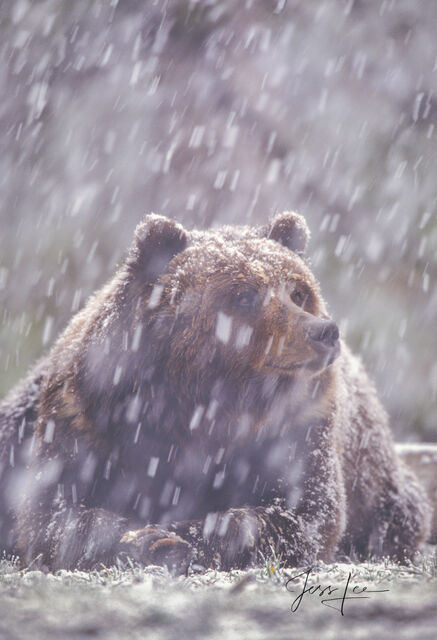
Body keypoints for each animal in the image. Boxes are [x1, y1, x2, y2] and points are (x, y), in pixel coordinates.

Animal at [0, 211, 430, 568]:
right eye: (245, 294)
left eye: (297, 291)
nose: (323, 331)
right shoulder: (84, 412)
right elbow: (54, 511)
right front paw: (143, 538)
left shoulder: (300, 425)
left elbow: (302, 511)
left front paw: (177, 536)